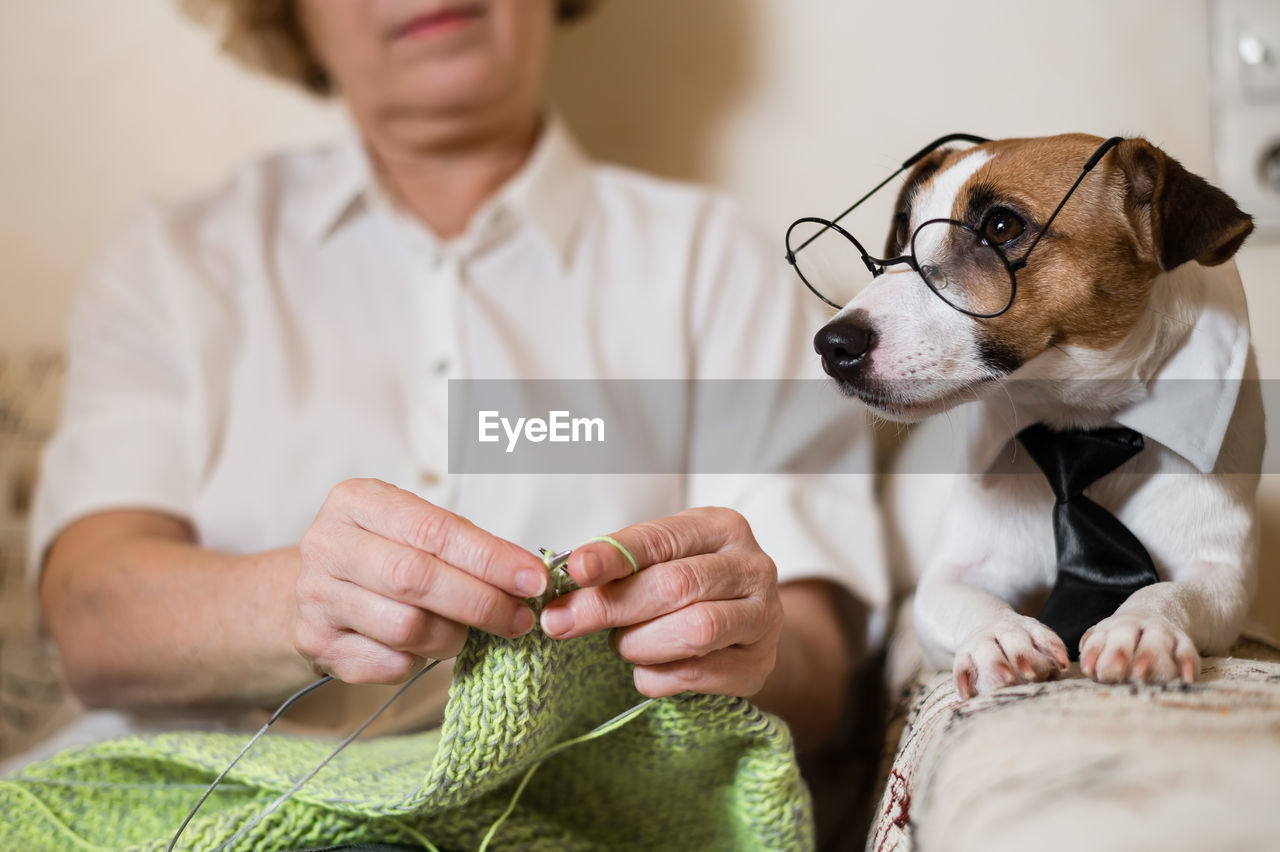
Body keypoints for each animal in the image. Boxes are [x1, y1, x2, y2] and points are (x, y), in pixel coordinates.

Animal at [808, 134, 1259, 695]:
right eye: (902, 231)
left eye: (1001, 227)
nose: (832, 345)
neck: (1075, 420)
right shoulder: (953, 574)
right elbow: (956, 597)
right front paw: (1001, 633)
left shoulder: (1220, 573)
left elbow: (1177, 591)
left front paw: (1141, 624)